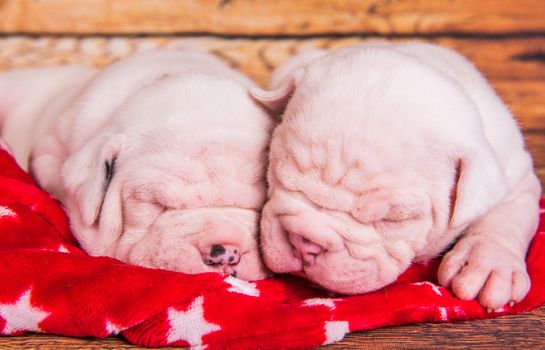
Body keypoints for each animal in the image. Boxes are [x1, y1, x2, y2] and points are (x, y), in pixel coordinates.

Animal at [253, 41, 540, 308]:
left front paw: (489, 263)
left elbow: (506, 216)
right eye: (278, 172)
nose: (304, 242)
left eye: (393, 219)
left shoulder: (517, 176)